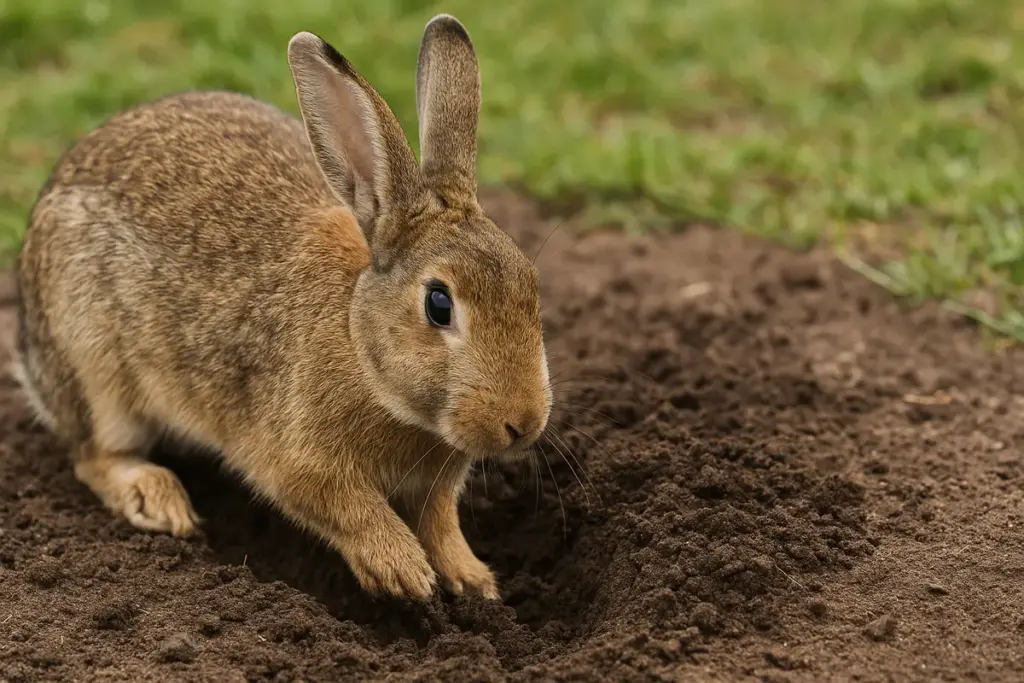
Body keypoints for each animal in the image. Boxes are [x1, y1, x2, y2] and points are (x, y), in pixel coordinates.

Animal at [13, 14, 552, 601]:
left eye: (532, 286)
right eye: (438, 304)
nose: (523, 423)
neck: (359, 340)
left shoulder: (433, 488)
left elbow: (439, 521)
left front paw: (472, 580)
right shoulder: (295, 458)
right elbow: (345, 506)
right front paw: (402, 570)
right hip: (95, 364)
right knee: (95, 455)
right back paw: (158, 498)